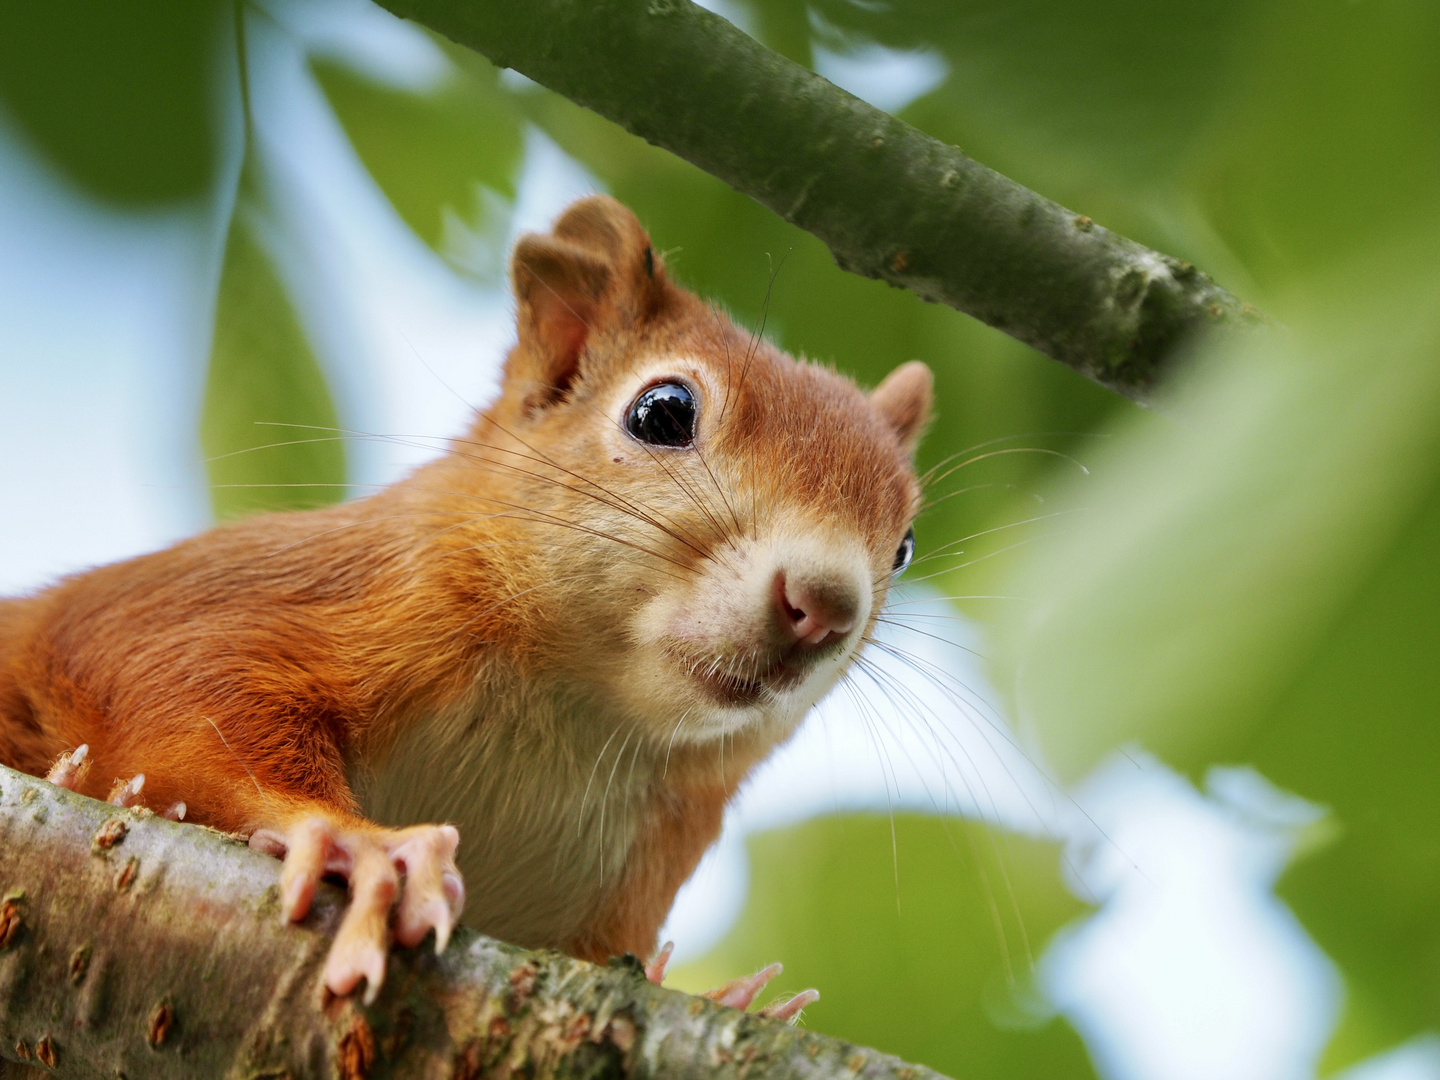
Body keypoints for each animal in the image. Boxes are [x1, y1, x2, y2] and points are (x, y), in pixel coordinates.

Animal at [0, 194, 933, 1013]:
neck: (573, 716)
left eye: (906, 543)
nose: (824, 603)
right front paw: (355, 842)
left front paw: (725, 997)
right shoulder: (239, 596)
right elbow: (179, 685)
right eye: (662, 411)